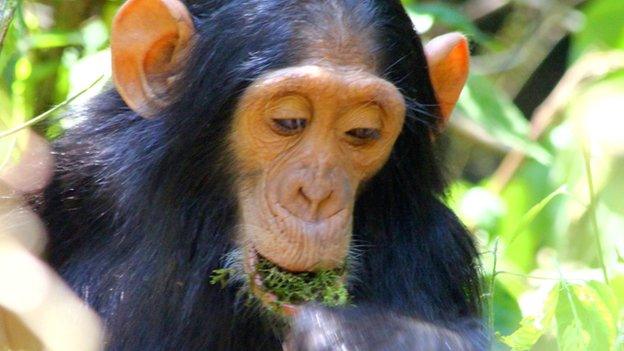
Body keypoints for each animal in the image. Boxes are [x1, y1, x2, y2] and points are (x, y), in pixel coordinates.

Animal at [37, 0, 488, 350]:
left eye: (362, 132)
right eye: (288, 121)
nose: (316, 193)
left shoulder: (434, 253)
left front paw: (361, 336)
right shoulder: (76, 174)